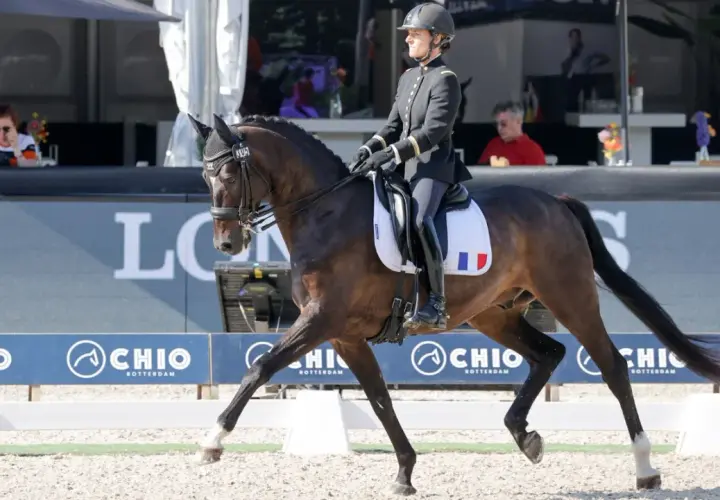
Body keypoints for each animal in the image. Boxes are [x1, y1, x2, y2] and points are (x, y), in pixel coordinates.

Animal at [188, 112, 720, 496]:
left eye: (230, 171)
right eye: (204, 175)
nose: (227, 243)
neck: (326, 212)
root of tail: (557, 202)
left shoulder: (321, 320)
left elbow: (260, 368)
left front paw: (211, 442)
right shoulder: (344, 335)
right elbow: (379, 399)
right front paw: (404, 473)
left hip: (570, 297)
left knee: (612, 365)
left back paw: (645, 468)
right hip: (495, 314)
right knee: (549, 354)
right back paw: (524, 435)